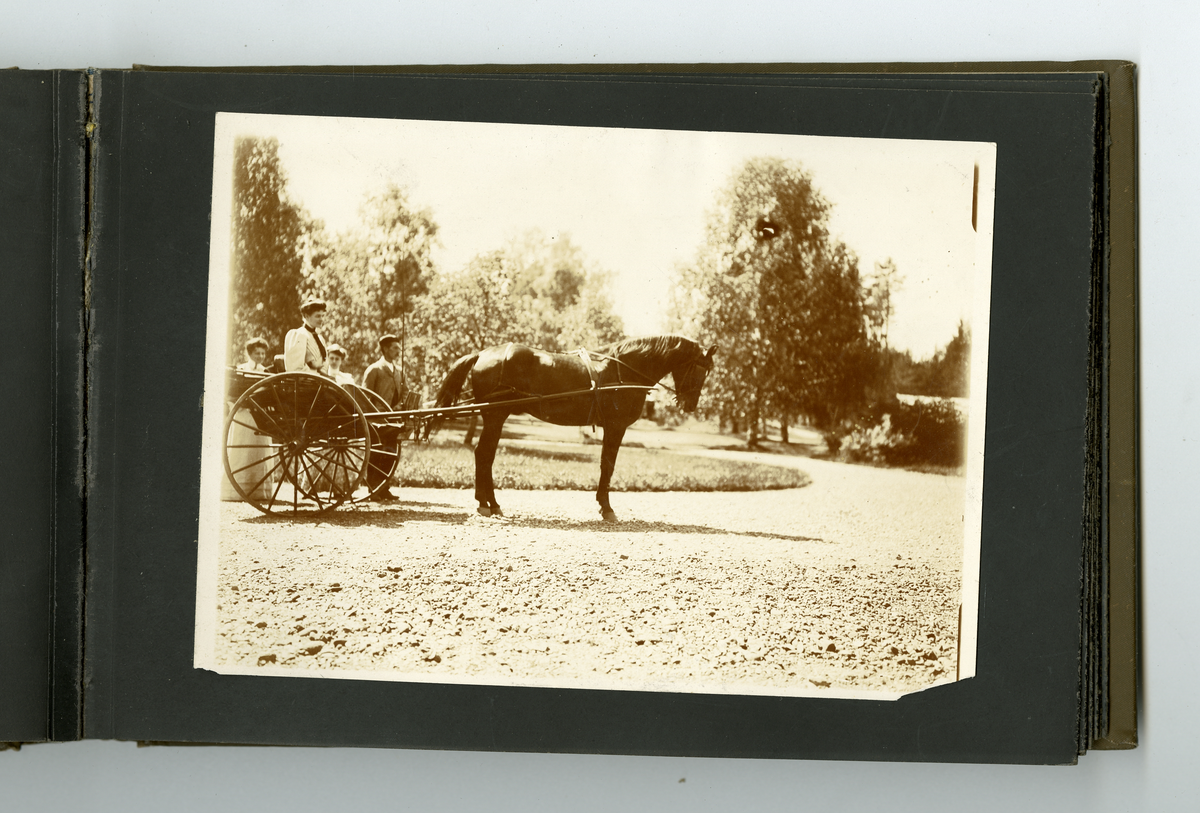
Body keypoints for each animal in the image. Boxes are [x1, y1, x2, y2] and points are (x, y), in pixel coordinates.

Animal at [436, 335, 715, 522]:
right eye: (701, 370)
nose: (690, 405)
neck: (622, 372)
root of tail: (482, 353)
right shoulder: (615, 427)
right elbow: (608, 465)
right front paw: (607, 507)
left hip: (495, 417)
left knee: (484, 455)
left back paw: (488, 503)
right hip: (495, 416)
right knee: (484, 455)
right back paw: (488, 503)